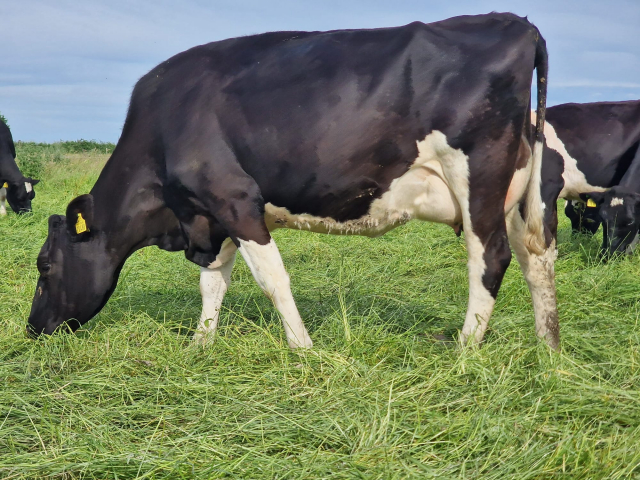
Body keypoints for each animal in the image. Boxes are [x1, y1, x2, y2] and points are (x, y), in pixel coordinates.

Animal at [26, 11, 560, 348]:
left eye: (45, 266)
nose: (32, 328)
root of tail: (518, 23)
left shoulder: (235, 200)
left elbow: (272, 278)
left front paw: (302, 346)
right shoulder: (210, 216)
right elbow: (212, 283)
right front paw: (201, 343)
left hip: (478, 176)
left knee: (490, 258)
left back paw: (465, 348)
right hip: (519, 191)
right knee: (537, 258)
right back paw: (547, 346)